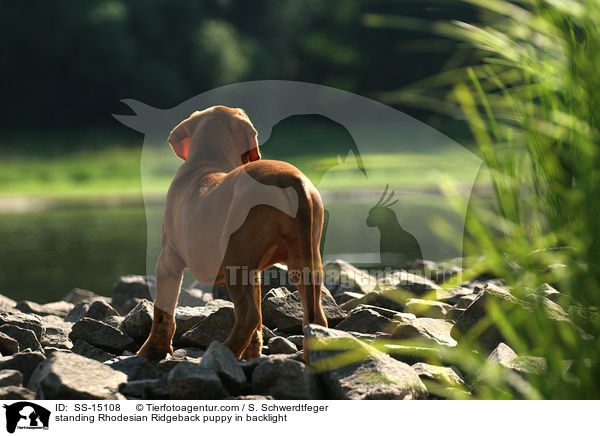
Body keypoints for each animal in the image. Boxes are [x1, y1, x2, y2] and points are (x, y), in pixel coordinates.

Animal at [137, 105, 328, 362]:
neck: (206, 162)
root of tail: (292, 180)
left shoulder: (169, 259)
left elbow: (162, 313)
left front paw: (151, 351)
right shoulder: (255, 273)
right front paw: (253, 355)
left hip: (235, 260)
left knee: (249, 315)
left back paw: (223, 352)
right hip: (303, 258)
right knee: (314, 316)